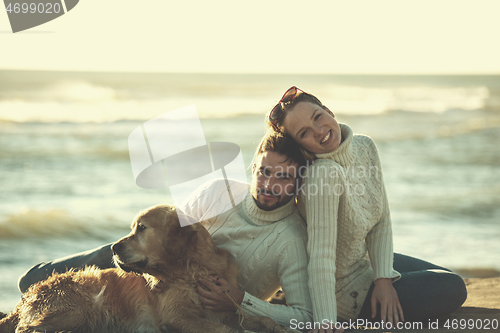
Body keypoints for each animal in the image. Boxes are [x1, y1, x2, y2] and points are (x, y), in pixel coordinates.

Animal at [0, 204, 296, 330]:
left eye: (141, 228)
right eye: (133, 227)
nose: (113, 248)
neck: (191, 270)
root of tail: (26, 297)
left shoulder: (224, 308)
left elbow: (261, 319)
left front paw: (275, 326)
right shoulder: (178, 316)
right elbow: (228, 330)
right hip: (81, 307)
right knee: (28, 329)